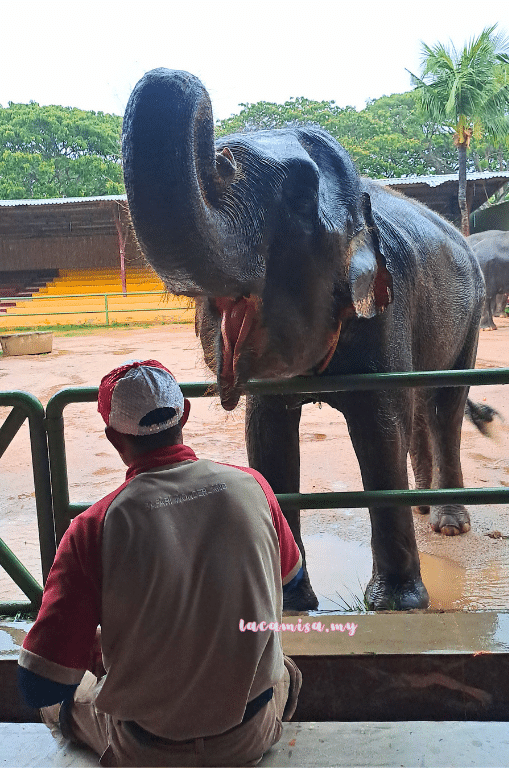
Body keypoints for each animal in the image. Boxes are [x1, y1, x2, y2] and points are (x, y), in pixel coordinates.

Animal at [120, 72, 484, 612]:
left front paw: (397, 605)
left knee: (445, 405)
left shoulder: (387, 310)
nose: (218, 154)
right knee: (421, 406)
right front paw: (291, 602)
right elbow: (267, 438)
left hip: (473, 313)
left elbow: (380, 431)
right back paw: (423, 508)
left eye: (298, 192)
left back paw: (449, 524)